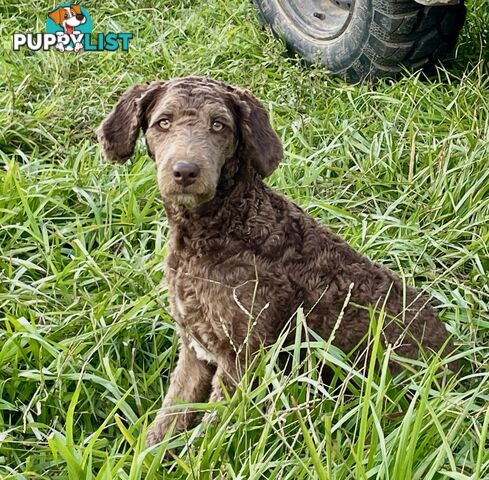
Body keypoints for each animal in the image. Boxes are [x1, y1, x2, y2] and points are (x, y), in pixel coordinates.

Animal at [97, 76, 456, 446]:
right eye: (163, 123)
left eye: (219, 125)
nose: (185, 171)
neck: (223, 227)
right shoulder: (196, 348)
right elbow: (167, 421)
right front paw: (141, 455)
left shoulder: (242, 356)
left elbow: (209, 438)